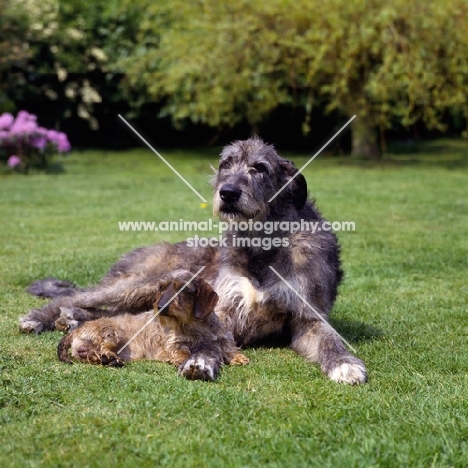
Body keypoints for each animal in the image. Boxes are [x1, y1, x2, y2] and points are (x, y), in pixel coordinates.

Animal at [57, 270, 249, 380]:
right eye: (161, 287)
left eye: (182, 289)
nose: (161, 306)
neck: (192, 324)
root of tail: (76, 330)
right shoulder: (173, 344)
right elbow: (180, 351)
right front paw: (182, 359)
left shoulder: (223, 336)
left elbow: (228, 346)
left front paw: (237, 357)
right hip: (112, 333)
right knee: (105, 348)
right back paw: (110, 358)